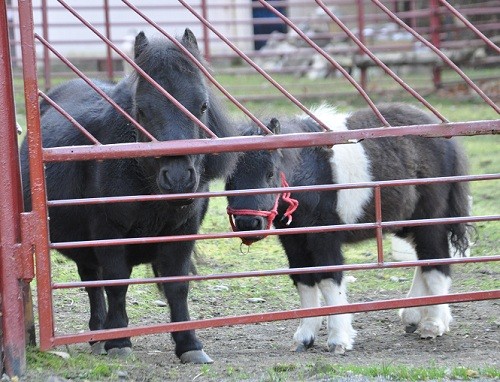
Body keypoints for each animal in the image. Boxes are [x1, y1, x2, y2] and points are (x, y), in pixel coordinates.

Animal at [20, 29, 237, 364]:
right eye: (142, 111)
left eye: (202, 106)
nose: (178, 178)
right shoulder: (108, 234)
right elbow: (117, 283)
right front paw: (119, 340)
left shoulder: (183, 234)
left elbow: (177, 286)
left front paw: (189, 343)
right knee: (94, 283)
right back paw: (100, 335)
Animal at [227, 103, 468, 354]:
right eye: (229, 177)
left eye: (270, 173)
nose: (248, 224)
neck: (310, 173)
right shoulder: (293, 240)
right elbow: (304, 280)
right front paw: (304, 337)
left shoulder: (324, 237)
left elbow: (329, 280)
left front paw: (338, 339)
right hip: (406, 224)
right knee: (424, 259)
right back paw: (413, 316)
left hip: (430, 221)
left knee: (437, 261)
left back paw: (433, 323)